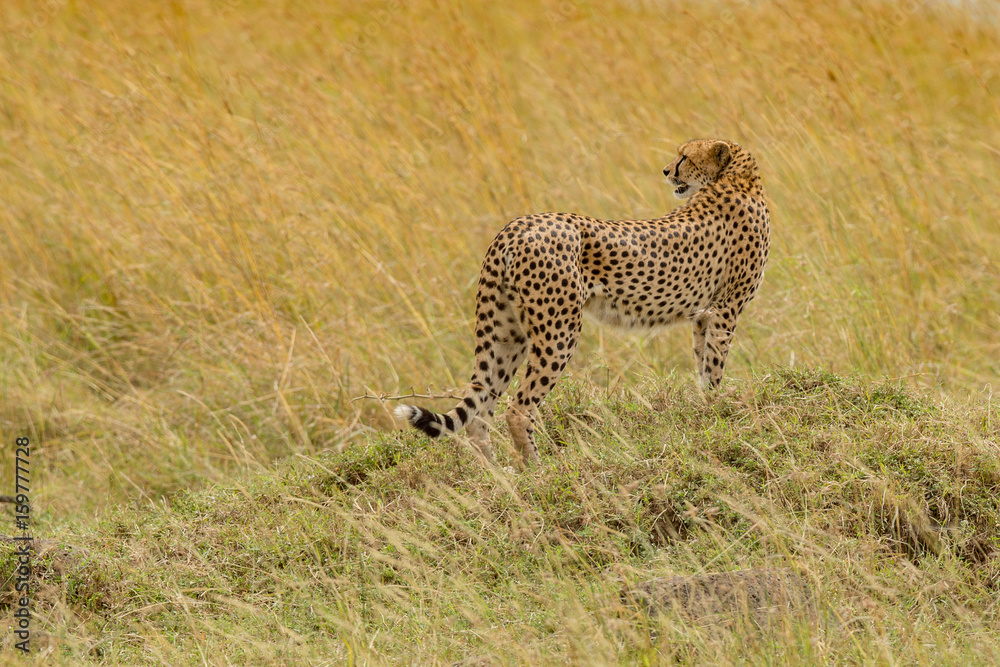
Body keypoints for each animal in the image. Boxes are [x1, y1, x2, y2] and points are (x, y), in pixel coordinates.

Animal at [394, 139, 768, 468]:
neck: (738, 178)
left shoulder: (704, 314)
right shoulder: (725, 309)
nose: (665, 171)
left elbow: (703, 366)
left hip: (505, 334)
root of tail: (515, 225)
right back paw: (538, 471)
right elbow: (715, 366)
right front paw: (718, 411)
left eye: (685, 157)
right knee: (518, 408)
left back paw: (495, 476)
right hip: (558, 331)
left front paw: (707, 408)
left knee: (480, 411)